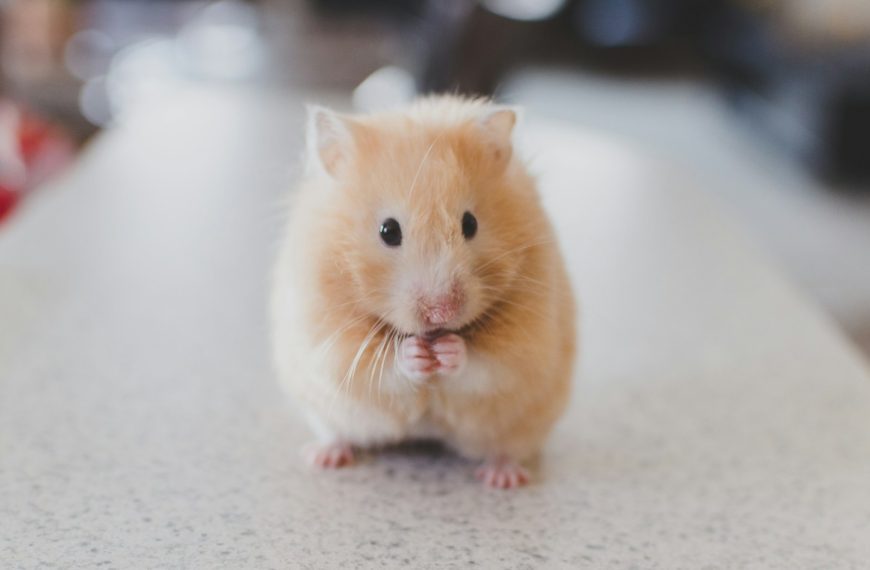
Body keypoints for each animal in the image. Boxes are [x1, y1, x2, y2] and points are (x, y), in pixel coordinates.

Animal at [271, 95, 577, 489]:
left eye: (470, 224)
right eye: (388, 231)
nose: (441, 313)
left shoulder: (527, 342)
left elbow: (487, 365)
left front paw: (448, 351)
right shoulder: (328, 340)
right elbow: (379, 366)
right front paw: (416, 354)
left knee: (506, 448)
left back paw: (503, 478)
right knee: (337, 433)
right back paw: (323, 457)